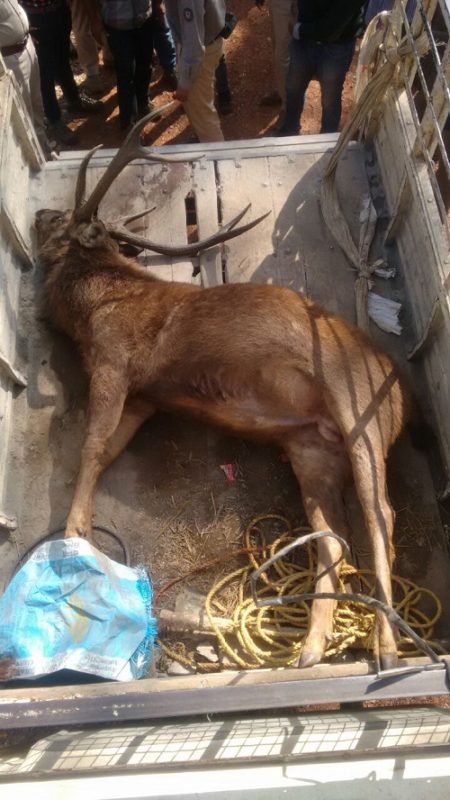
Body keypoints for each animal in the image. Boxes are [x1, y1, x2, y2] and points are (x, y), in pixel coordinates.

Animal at [34, 107, 416, 671]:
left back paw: (386, 644)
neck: (88, 309)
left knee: (381, 518)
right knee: (335, 538)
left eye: (61, 220)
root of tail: (400, 397)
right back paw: (312, 645)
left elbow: (89, 446)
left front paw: (72, 535)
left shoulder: (113, 362)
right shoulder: (144, 397)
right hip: (311, 447)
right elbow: (105, 452)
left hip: (359, 414)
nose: (38, 211)